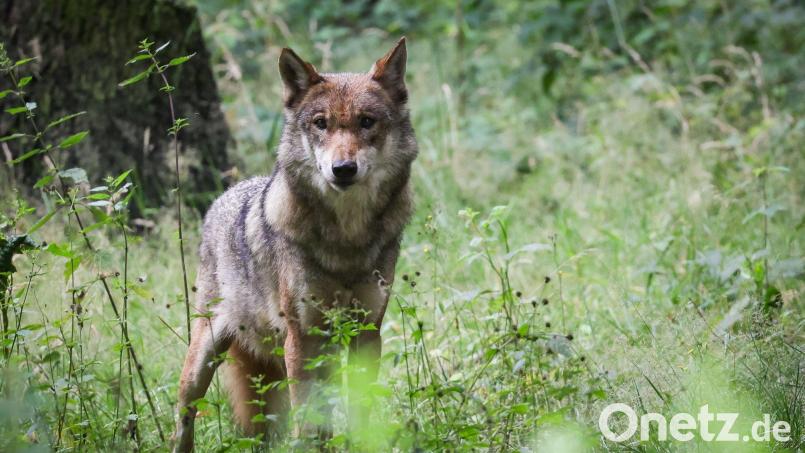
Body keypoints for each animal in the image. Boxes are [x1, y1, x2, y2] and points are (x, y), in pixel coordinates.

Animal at [172, 37, 417, 452]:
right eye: (321, 124)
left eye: (367, 122)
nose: (343, 169)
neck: (346, 240)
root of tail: (225, 196)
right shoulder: (302, 339)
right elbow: (308, 420)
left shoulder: (367, 333)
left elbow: (359, 413)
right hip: (204, 359)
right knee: (184, 414)